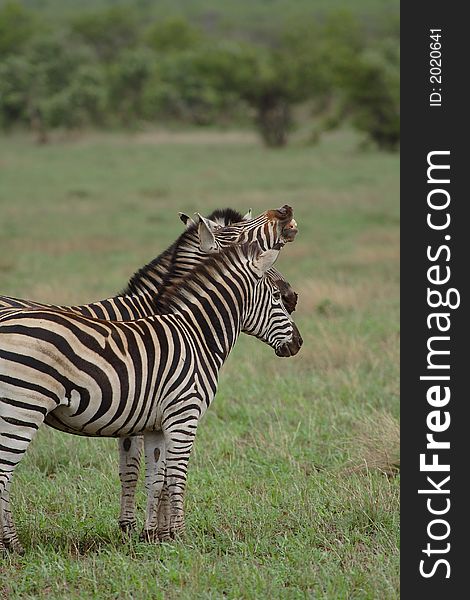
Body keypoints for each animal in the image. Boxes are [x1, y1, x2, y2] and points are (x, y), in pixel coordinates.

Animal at [0, 206, 300, 548]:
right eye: (246, 237)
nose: (294, 298)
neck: (194, 330)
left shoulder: (148, 417)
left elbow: (156, 477)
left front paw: (153, 534)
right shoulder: (172, 414)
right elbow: (162, 474)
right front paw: (165, 533)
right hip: (22, 409)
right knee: (3, 474)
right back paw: (13, 544)